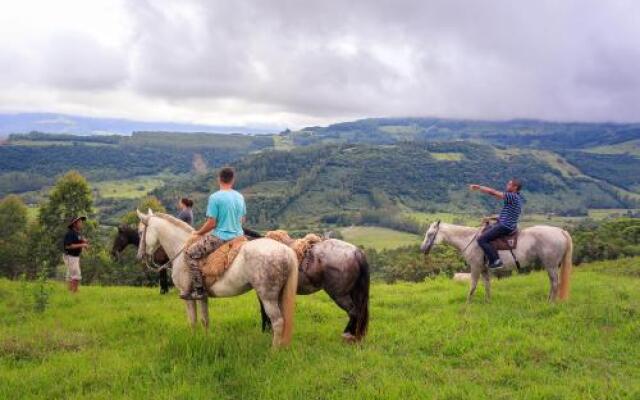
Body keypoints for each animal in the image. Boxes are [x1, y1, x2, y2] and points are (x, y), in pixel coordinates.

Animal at [136, 209, 300, 346]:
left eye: (139, 232)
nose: (139, 256)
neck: (181, 249)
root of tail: (286, 250)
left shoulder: (186, 295)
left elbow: (192, 321)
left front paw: (192, 340)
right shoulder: (201, 296)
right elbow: (205, 320)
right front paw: (205, 340)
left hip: (267, 296)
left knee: (277, 322)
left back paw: (274, 351)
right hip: (278, 295)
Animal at [420, 220, 576, 302]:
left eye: (430, 234)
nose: (422, 249)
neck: (470, 239)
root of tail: (561, 231)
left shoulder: (475, 267)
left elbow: (473, 286)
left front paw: (468, 303)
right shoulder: (484, 269)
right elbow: (487, 285)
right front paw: (488, 301)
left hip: (551, 265)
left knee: (555, 283)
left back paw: (551, 302)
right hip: (551, 265)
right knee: (553, 283)